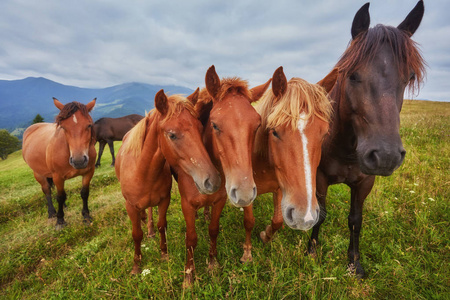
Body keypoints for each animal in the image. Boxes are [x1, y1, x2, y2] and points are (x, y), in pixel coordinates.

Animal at [22, 97, 96, 229]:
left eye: (89, 125)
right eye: (63, 127)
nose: (78, 161)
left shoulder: (89, 172)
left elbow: (84, 193)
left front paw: (86, 216)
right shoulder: (57, 176)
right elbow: (60, 197)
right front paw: (60, 221)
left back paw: (64, 207)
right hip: (38, 173)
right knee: (47, 190)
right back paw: (52, 213)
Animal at [173, 65, 268, 286]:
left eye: (257, 125)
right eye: (215, 125)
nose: (244, 193)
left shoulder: (220, 200)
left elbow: (213, 229)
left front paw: (212, 265)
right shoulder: (186, 204)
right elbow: (190, 238)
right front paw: (188, 277)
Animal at [239, 66, 338, 262]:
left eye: (324, 134)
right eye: (275, 132)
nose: (304, 216)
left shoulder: (280, 188)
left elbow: (277, 221)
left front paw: (266, 235)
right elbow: (249, 221)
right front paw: (247, 253)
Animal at [306, 0, 426, 278]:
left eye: (409, 77)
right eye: (351, 74)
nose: (386, 156)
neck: (344, 146)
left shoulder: (364, 183)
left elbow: (355, 221)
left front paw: (354, 263)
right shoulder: (320, 177)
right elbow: (321, 214)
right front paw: (312, 251)